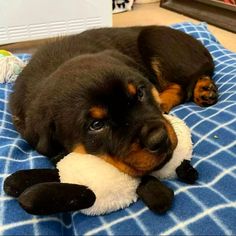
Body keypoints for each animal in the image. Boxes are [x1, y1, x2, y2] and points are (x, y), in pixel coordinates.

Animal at [6, 25, 218, 214]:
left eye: (140, 93)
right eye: (96, 125)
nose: (159, 138)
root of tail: (202, 48)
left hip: (154, 38)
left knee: (183, 84)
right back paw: (204, 90)